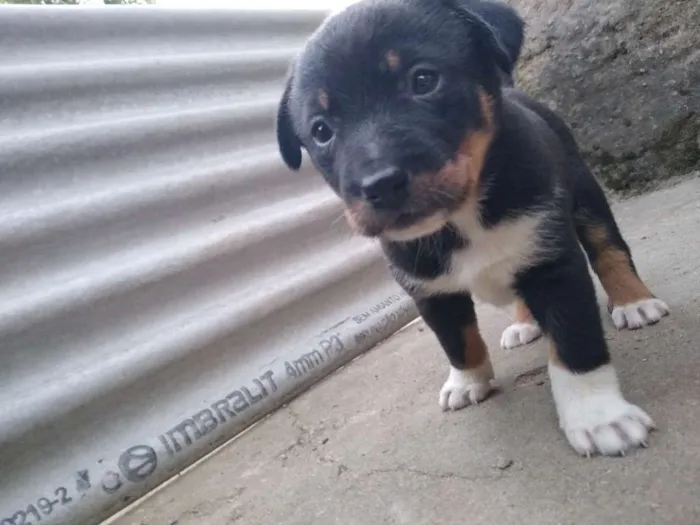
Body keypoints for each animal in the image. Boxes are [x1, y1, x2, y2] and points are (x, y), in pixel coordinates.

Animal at [274, 0, 672, 454]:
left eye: (424, 80)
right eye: (321, 130)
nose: (379, 186)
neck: (461, 217)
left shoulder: (553, 262)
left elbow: (575, 342)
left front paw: (599, 417)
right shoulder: (428, 290)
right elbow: (456, 340)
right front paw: (467, 381)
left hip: (586, 194)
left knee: (609, 249)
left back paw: (634, 301)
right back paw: (524, 323)